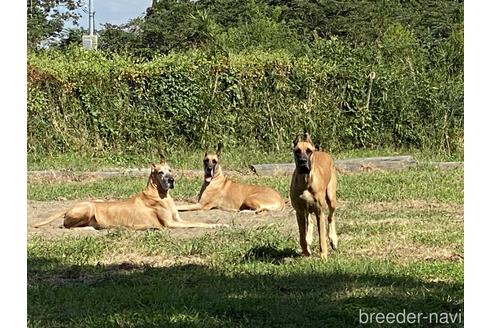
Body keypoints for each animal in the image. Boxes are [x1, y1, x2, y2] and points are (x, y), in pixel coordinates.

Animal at [32, 155, 227, 229]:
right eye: (160, 172)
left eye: (170, 170)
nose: (171, 180)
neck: (161, 195)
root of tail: (67, 208)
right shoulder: (171, 224)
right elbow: (200, 224)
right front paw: (218, 225)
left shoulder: (178, 219)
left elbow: (200, 221)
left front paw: (218, 223)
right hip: (89, 207)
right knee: (67, 225)